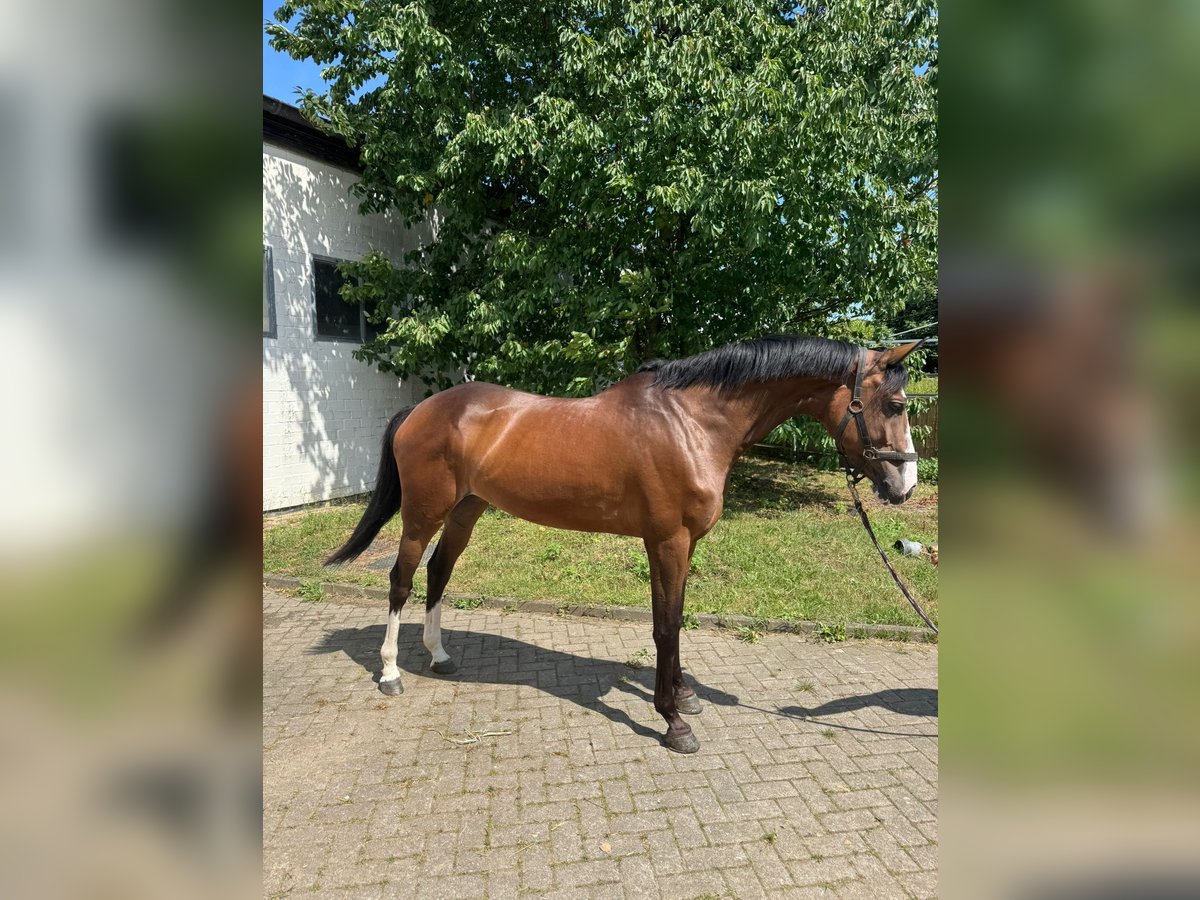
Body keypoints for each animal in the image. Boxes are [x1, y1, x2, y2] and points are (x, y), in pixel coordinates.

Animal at [324, 335, 924, 753]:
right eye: (895, 406)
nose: (905, 486)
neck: (692, 422)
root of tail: (422, 409)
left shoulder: (682, 545)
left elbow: (675, 619)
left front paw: (684, 697)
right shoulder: (667, 541)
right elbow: (664, 626)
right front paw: (673, 721)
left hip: (467, 509)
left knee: (438, 572)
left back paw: (440, 655)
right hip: (423, 514)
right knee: (400, 579)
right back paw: (391, 674)